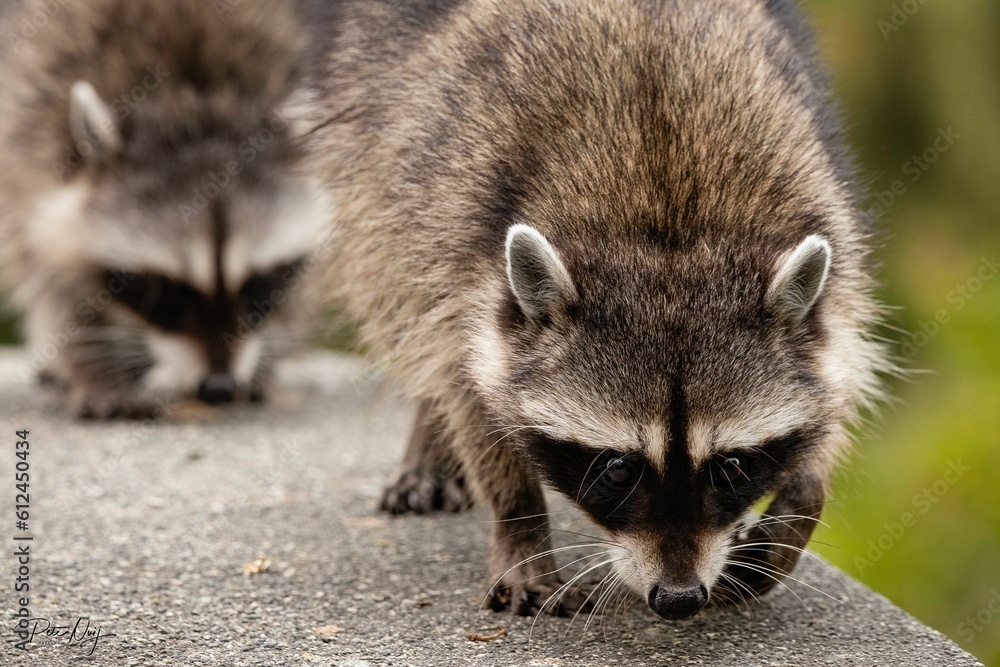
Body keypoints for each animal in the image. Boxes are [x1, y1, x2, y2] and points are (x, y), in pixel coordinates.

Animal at [0, 0, 327, 418]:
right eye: (166, 291)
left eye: (257, 285)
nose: (218, 387)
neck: (190, 94)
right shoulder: (33, 138)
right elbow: (55, 279)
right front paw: (95, 368)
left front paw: (266, 356)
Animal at [307, 0, 888, 619]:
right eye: (618, 468)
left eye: (731, 467)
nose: (678, 599)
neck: (667, 224)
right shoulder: (453, 236)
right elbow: (466, 384)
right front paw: (519, 522)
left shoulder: (831, 234)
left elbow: (832, 392)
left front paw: (794, 510)